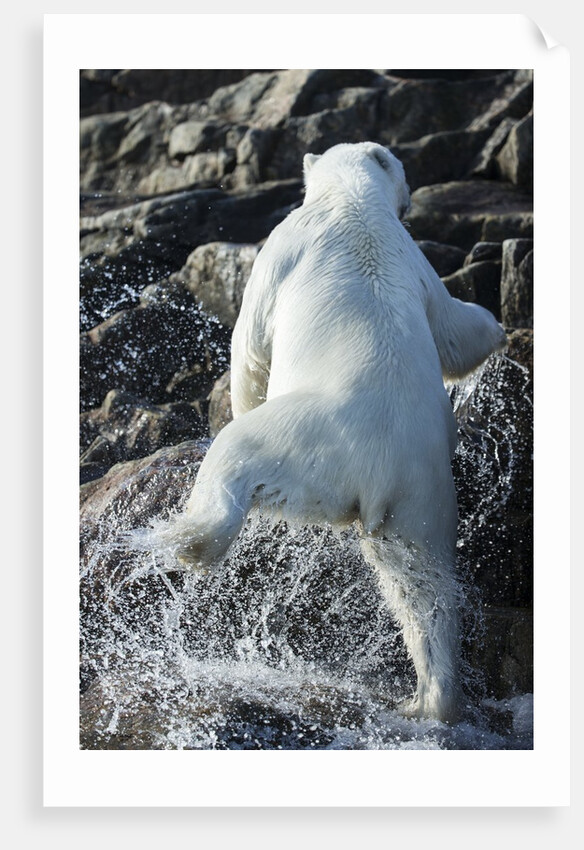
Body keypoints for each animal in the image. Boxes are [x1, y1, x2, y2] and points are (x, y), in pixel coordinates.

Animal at [164, 142, 507, 723]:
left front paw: (232, 398)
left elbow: (249, 342)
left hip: (301, 446)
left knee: (235, 457)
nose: (412, 197)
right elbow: (454, 328)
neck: (351, 202)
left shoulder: (282, 246)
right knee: (423, 583)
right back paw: (431, 698)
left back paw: (189, 541)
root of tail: (378, 463)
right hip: (421, 495)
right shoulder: (416, 262)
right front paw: (500, 330)